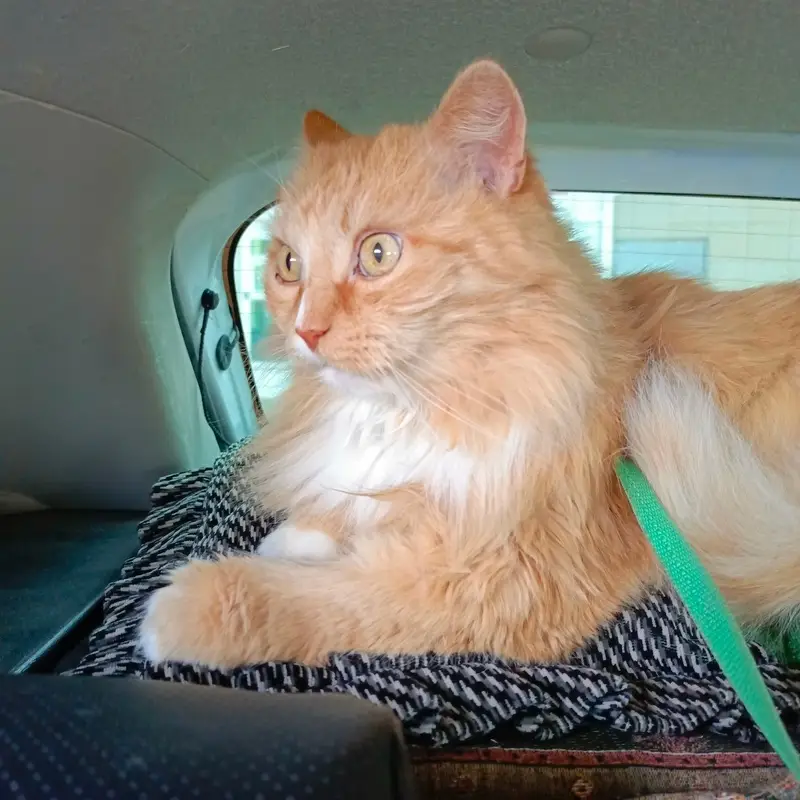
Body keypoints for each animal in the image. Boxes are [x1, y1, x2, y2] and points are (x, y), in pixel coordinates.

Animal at [139, 59, 800, 669]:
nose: (306, 330)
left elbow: (331, 597)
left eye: (378, 254)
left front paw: (194, 605)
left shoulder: (508, 575)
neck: (413, 408)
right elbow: (330, 514)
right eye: (288, 266)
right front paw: (299, 536)